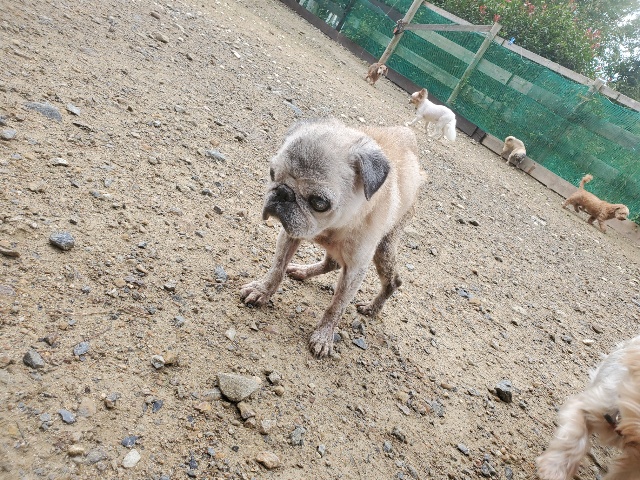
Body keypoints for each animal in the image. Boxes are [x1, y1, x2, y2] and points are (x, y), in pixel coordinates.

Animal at [240, 118, 422, 358]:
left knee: (393, 281)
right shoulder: (289, 234)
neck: (332, 227)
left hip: (384, 248)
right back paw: (303, 271)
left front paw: (324, 336)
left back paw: (372, 308)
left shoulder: (355, 270)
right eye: (272, 173)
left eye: (319, 202)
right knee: (332, 263)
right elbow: (277, 270)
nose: (282, 193)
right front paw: (262, 291)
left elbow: (336, 306)